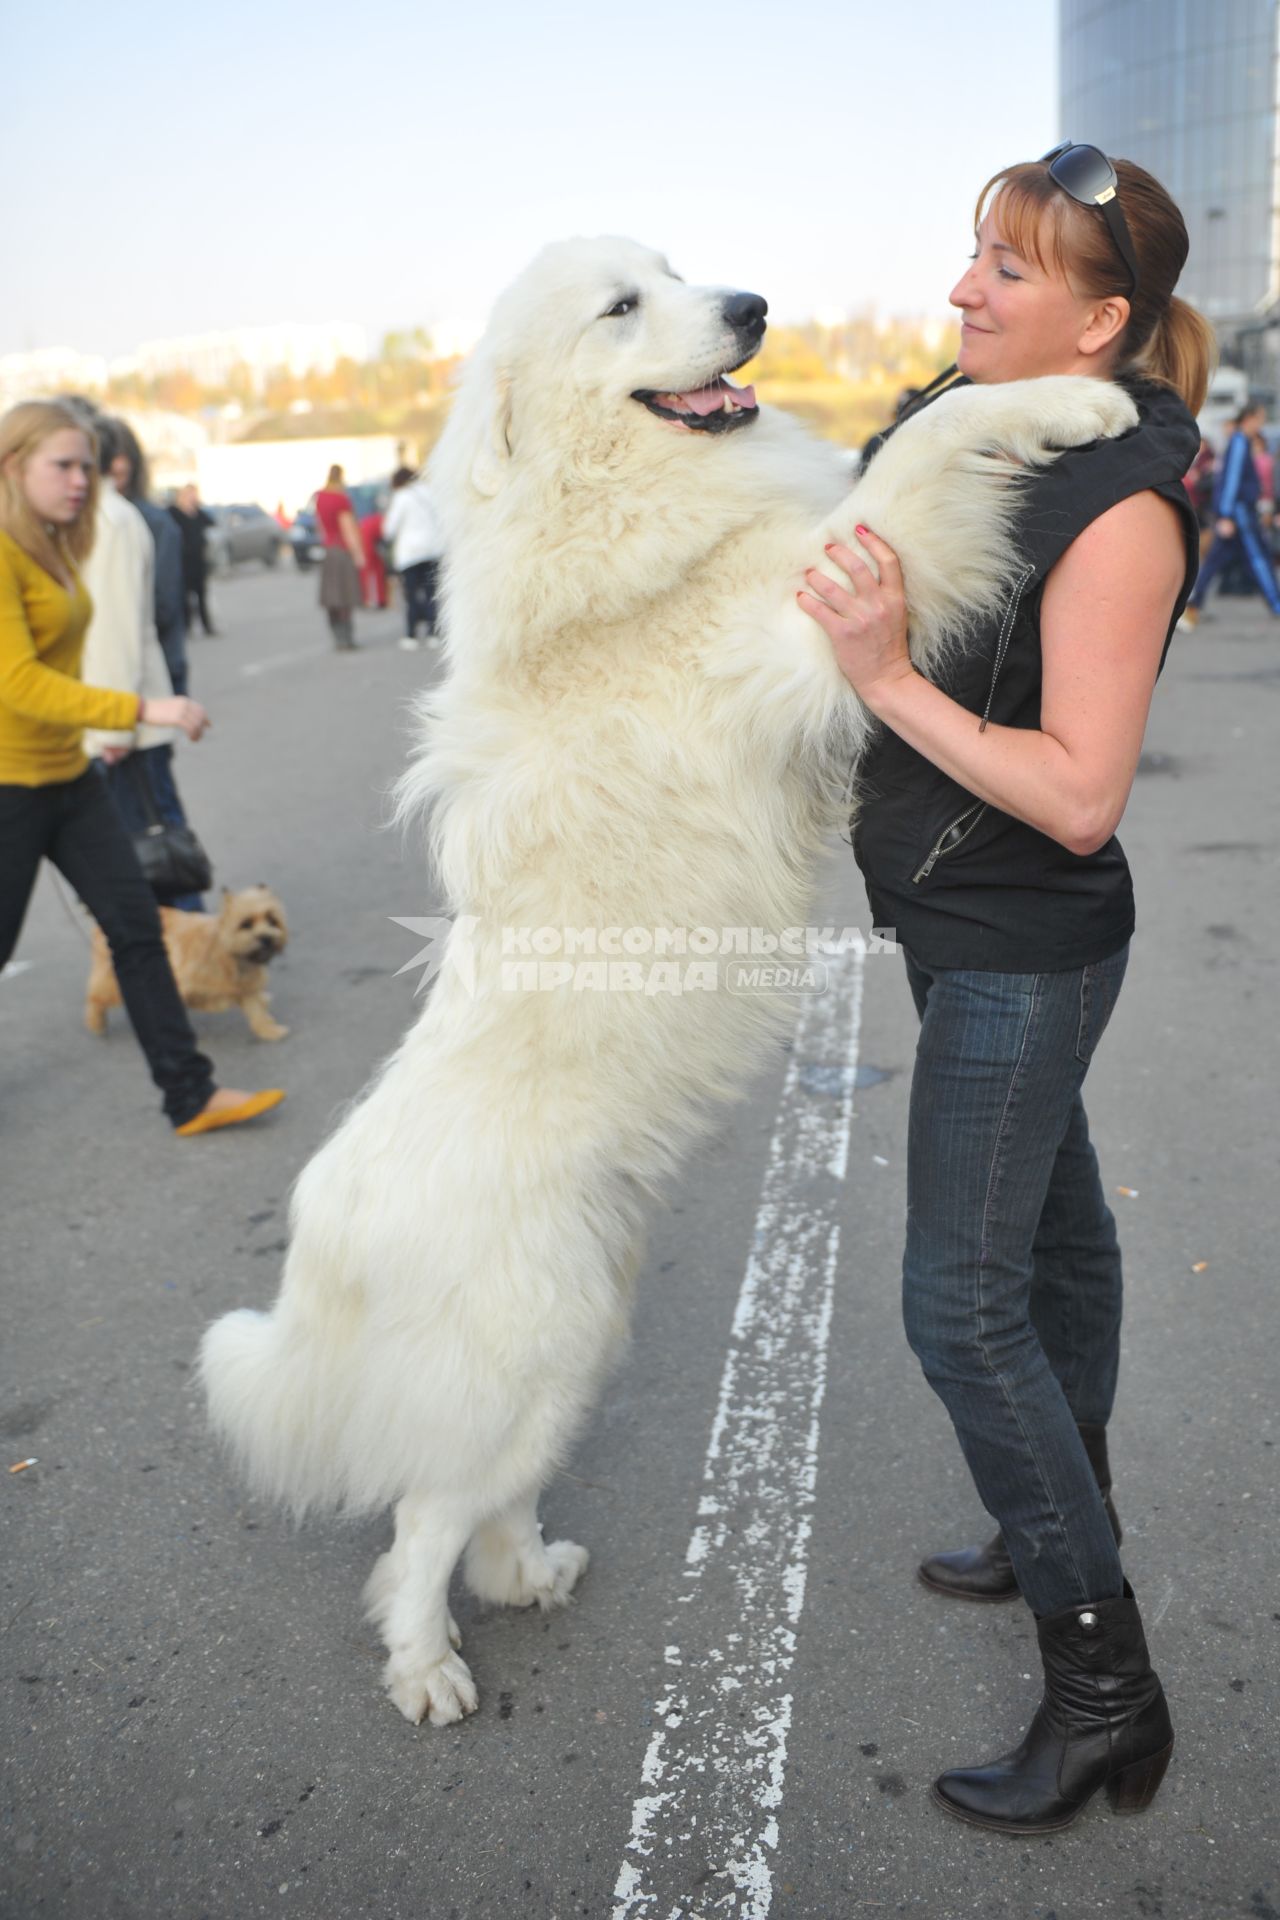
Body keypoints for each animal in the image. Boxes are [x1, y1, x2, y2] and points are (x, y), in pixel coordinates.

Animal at [195, 236, 1136, 1728]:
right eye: (621, 307)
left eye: (676, 268)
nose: (752, 308)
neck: (614, 504)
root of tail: (323, 1231)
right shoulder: (822, 596)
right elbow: (930, 441)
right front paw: (1079, 402)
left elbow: (913, 444)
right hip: (527, 1346)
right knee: (417, 1529)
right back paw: (428, 1670)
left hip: (582, 1338)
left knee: (484, 1504)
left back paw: (532, 1575)